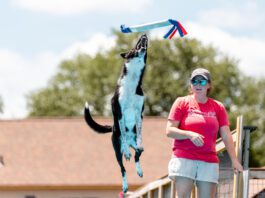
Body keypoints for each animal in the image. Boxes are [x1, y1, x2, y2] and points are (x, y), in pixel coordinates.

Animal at [84, 34, 147, 193]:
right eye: (134, 47)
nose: (144, 35)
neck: (132, 81)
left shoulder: (139, 113)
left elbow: (140, 130)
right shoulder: (119, 112)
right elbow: (123, 133)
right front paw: (126, 150)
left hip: (137, 149)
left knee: (137, 156)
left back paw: (139, 170)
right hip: (116, 151)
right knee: (122, 167)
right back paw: (125, 185)